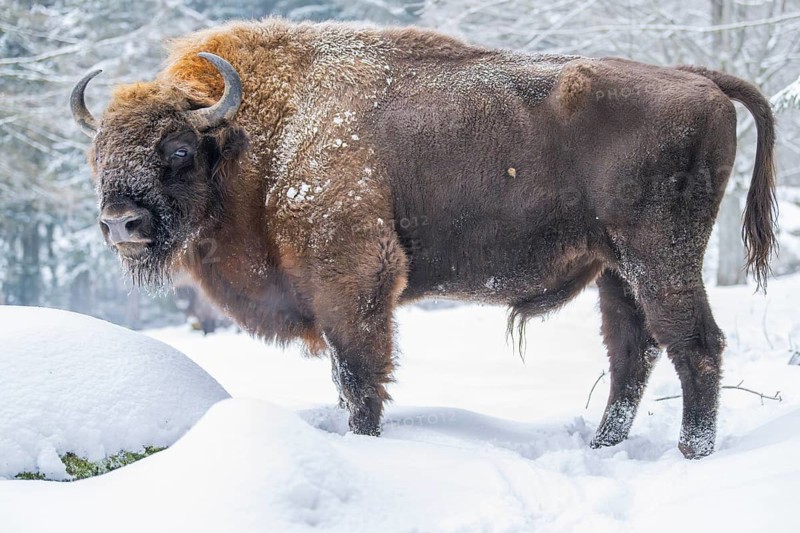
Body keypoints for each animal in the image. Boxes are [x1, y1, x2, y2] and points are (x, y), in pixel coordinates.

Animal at [71, 19, 777, 458]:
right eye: (98, 154)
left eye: (178, 151)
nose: (121, 223)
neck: (257, 136)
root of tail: (699, 77)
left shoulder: (354, 281)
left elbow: (360, 377)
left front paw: (363, 443)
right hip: (616, 271)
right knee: (634, 353)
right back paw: (606, 447)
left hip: (660, 258)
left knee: (696, 346)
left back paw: (691, 454)